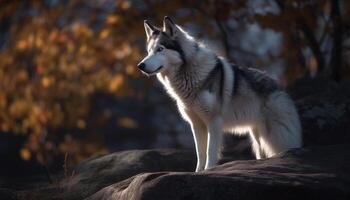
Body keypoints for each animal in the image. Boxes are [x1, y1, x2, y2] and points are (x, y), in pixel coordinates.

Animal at [137, 16, 300, 172]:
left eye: (160, 49)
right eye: (149, 51)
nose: (140, 66)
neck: (189, 74)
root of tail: (279, 86)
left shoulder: (214, 122)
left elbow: (210, 151)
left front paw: (209, 170)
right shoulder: (196, 124)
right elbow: (200, 153)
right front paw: (198, 172)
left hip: (275, 137)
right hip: (257, 137)